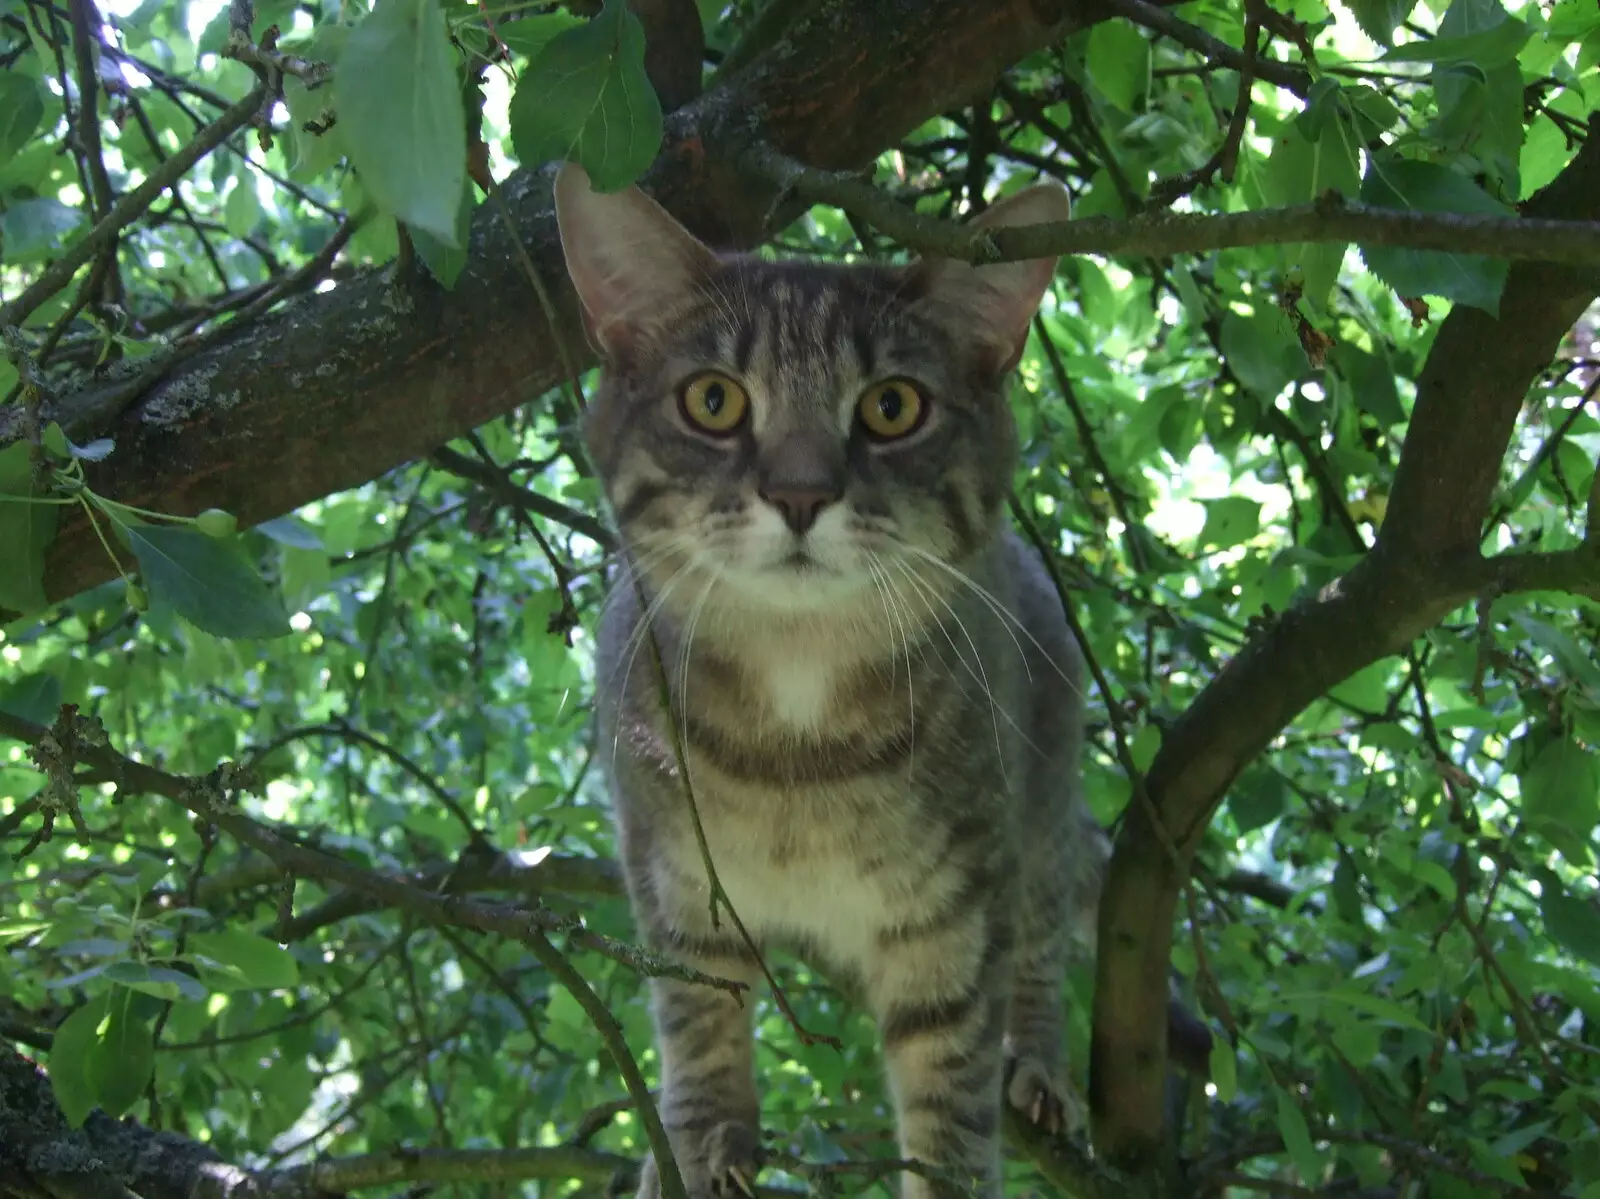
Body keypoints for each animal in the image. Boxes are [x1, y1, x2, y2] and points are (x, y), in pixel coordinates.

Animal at [563, 161, 1113, 1197]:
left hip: (1042, 804)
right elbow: (694, 1022)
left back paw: (1042, 1062)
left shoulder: (958, 916)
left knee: (1046, 933)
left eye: (892, 407)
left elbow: (949, 1102)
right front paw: (697, 1140)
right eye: (713, 400)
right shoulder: (670, 881)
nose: (801, 492)